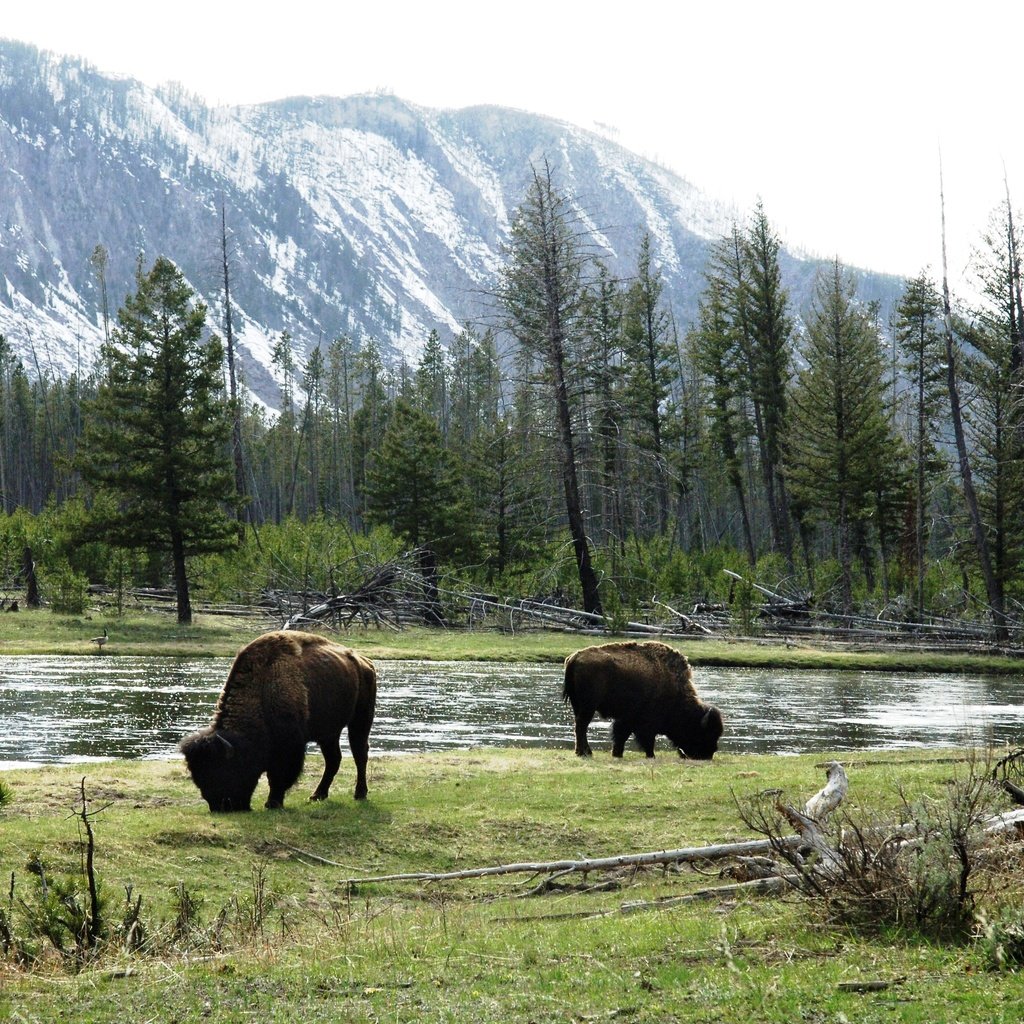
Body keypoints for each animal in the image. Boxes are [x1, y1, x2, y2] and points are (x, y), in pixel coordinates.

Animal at [182, 626, 378, 811]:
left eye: (224, 770)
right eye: (198, 778)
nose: (222, 807)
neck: (262, 688)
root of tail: (365, 662)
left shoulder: (289, 746)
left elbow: (278, 775)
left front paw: (273, 802)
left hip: (360, 720)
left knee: (360, 753)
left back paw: (359, 793)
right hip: (329, 733)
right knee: (333, 759)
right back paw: (317, 795)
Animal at [561, 638, 720, 761]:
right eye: (703, 733)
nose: (707, 755)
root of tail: (573, 658)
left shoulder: (627, 719)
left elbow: (621, 735)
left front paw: (617, 753)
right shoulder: (644, 723)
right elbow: (646, 740)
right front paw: (651, 755)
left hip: (578, 705)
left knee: (579, 726)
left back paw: (584, 752)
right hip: (588, 706)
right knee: (581, 726)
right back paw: (584, 753)